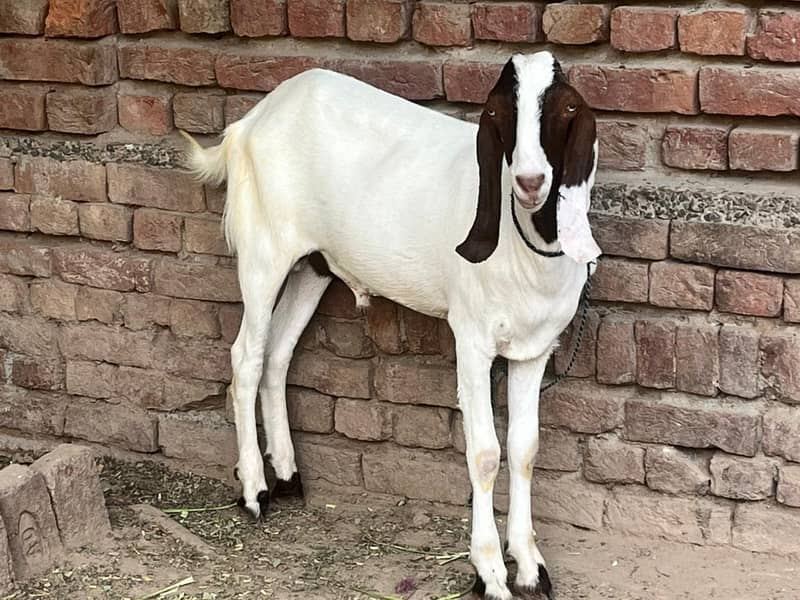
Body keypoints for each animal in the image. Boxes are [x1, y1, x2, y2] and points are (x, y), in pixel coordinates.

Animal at [183, 50, 600, 600]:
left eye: (566, 107)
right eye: (497, 113)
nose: (530, 182)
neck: (521, 246)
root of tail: (249, 123)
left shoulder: (535, 349)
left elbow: (525, 448)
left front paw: (531, 567)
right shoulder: (471, 341)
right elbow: (485, 454)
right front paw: (489, 572)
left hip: (313, 265)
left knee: (278, 354)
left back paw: (288, 475)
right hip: (263, 253)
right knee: (246, 358)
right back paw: (254, 490)